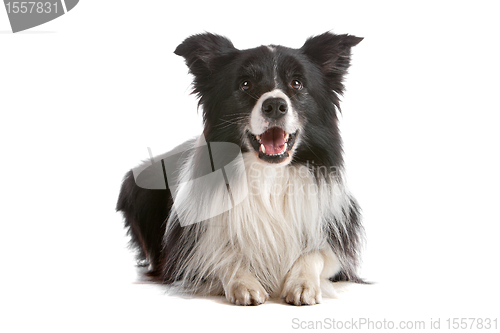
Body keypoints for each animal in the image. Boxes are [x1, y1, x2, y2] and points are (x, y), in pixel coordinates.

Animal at [118, 32, 368, 304]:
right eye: (245, 84)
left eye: (297, 83)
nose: (275, 105)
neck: (268, 176)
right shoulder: (186, 253)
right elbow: (221, 255)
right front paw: (244, 282)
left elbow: (317, 253)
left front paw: (303, 283)